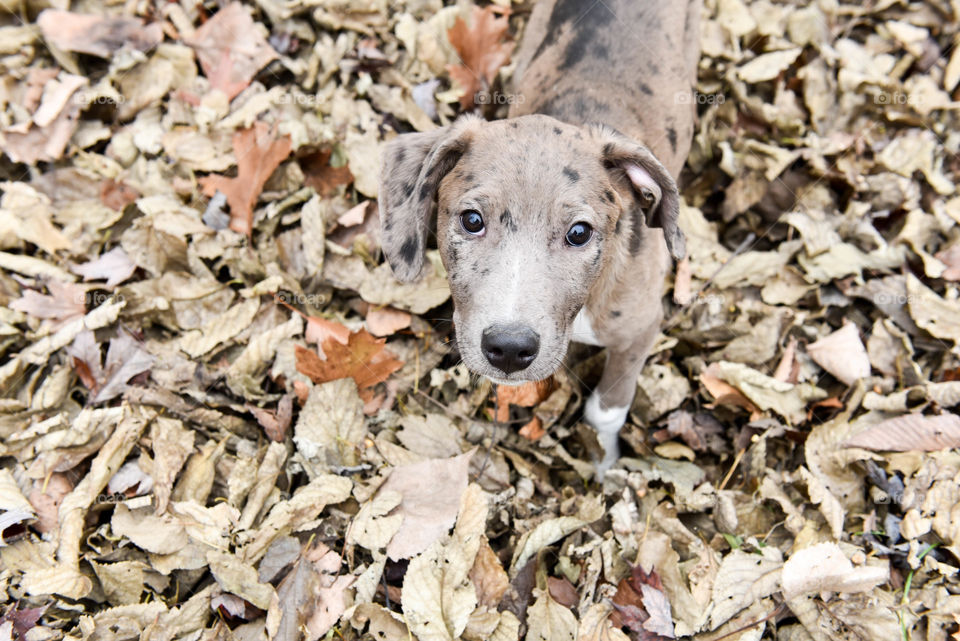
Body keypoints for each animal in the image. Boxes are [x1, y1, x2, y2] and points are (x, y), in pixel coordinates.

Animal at [378, 0, 700, 472]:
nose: (510, 349)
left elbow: (606, 409)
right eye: (471, 220)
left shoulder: (641, 329)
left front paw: (605, 463)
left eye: (579, 232)